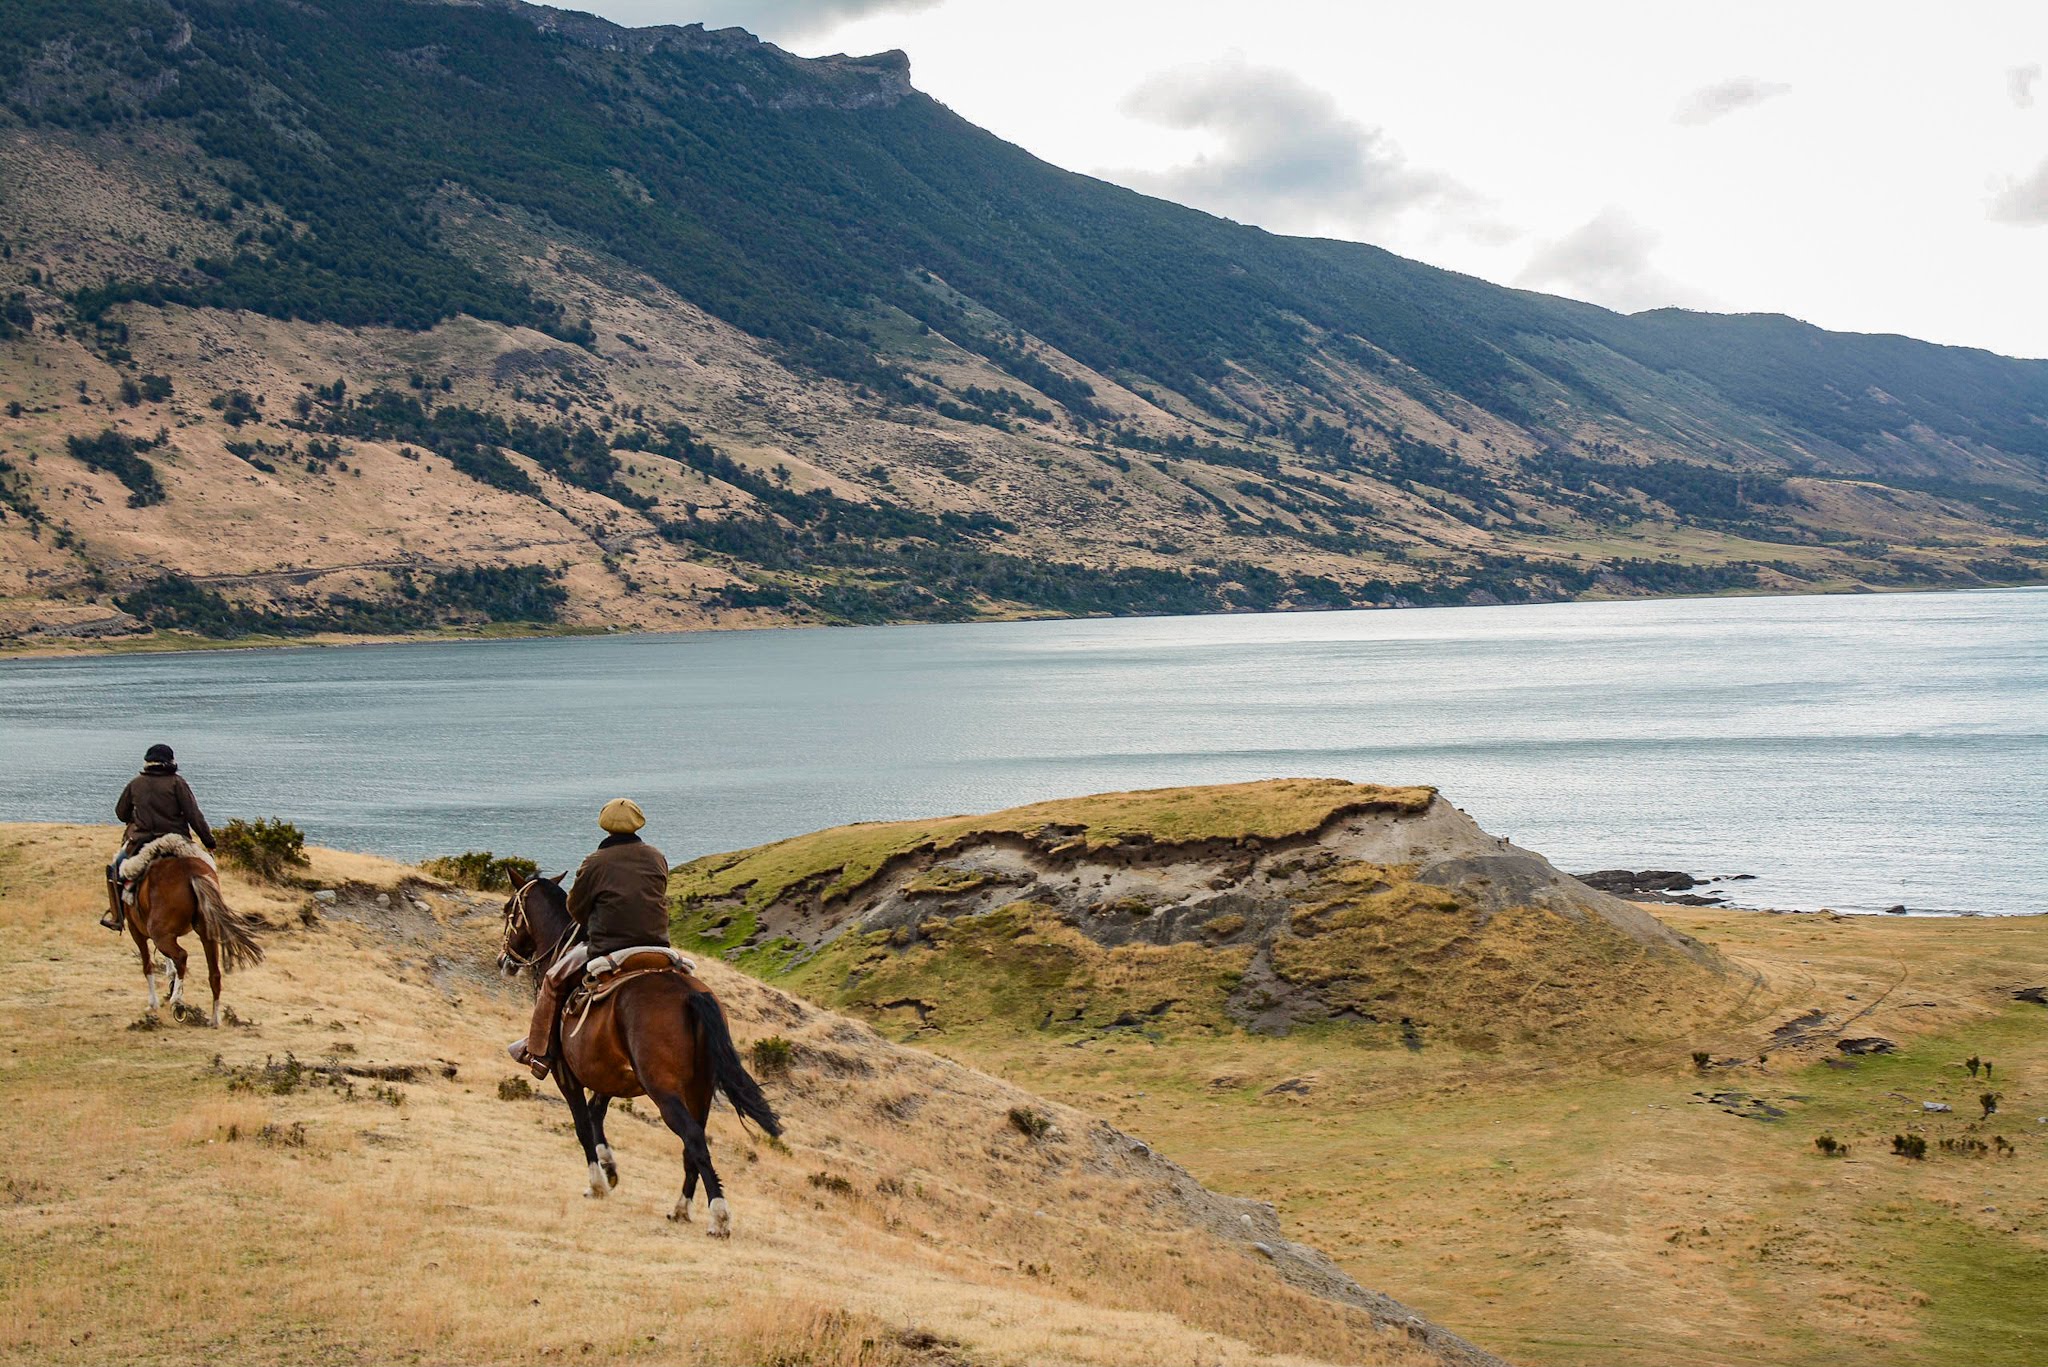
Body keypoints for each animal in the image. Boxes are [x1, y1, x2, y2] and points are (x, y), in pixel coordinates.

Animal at [123, 836, 266, 1024]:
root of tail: (191, 874)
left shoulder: (137, 932)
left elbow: (148, 965)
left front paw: (153, 1003)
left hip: (160, 934)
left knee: (181, 956)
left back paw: (177, 1001)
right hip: (206, 934)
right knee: (214, 973)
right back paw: (214, 1019)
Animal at [497, 877, 782, 1237]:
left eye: (509, 908)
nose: (503, 960)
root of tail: (689, 995)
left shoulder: (565, 1072)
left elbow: (582, 1124)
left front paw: (597, 1183)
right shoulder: (610, 1074)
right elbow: (596, 1114)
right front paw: (609, 1167)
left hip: (664, 1091)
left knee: (692, 1137)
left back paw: (718, 1216)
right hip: (699, 1090)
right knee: (695, 1139)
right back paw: (681, 1208)